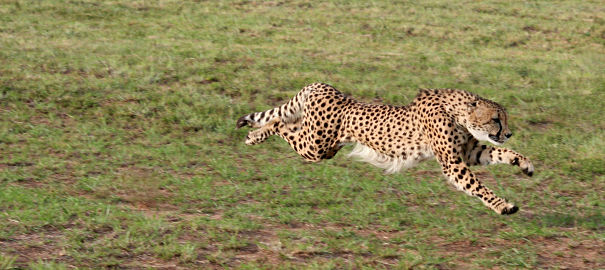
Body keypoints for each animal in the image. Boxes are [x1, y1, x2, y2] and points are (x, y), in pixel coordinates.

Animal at [236, 83, 532, 215]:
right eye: (496, 119)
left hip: (318, 142)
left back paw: (254, 133)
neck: (457, 111)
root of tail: (324, 86)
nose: (508, 133)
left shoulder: (468, 153)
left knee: (287, 122)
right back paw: (254, 135)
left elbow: (501, 153)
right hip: (315, 147)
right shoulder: (453, 163)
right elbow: (479, 187)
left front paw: (525, 164)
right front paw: (503, 205)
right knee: (278, 122)